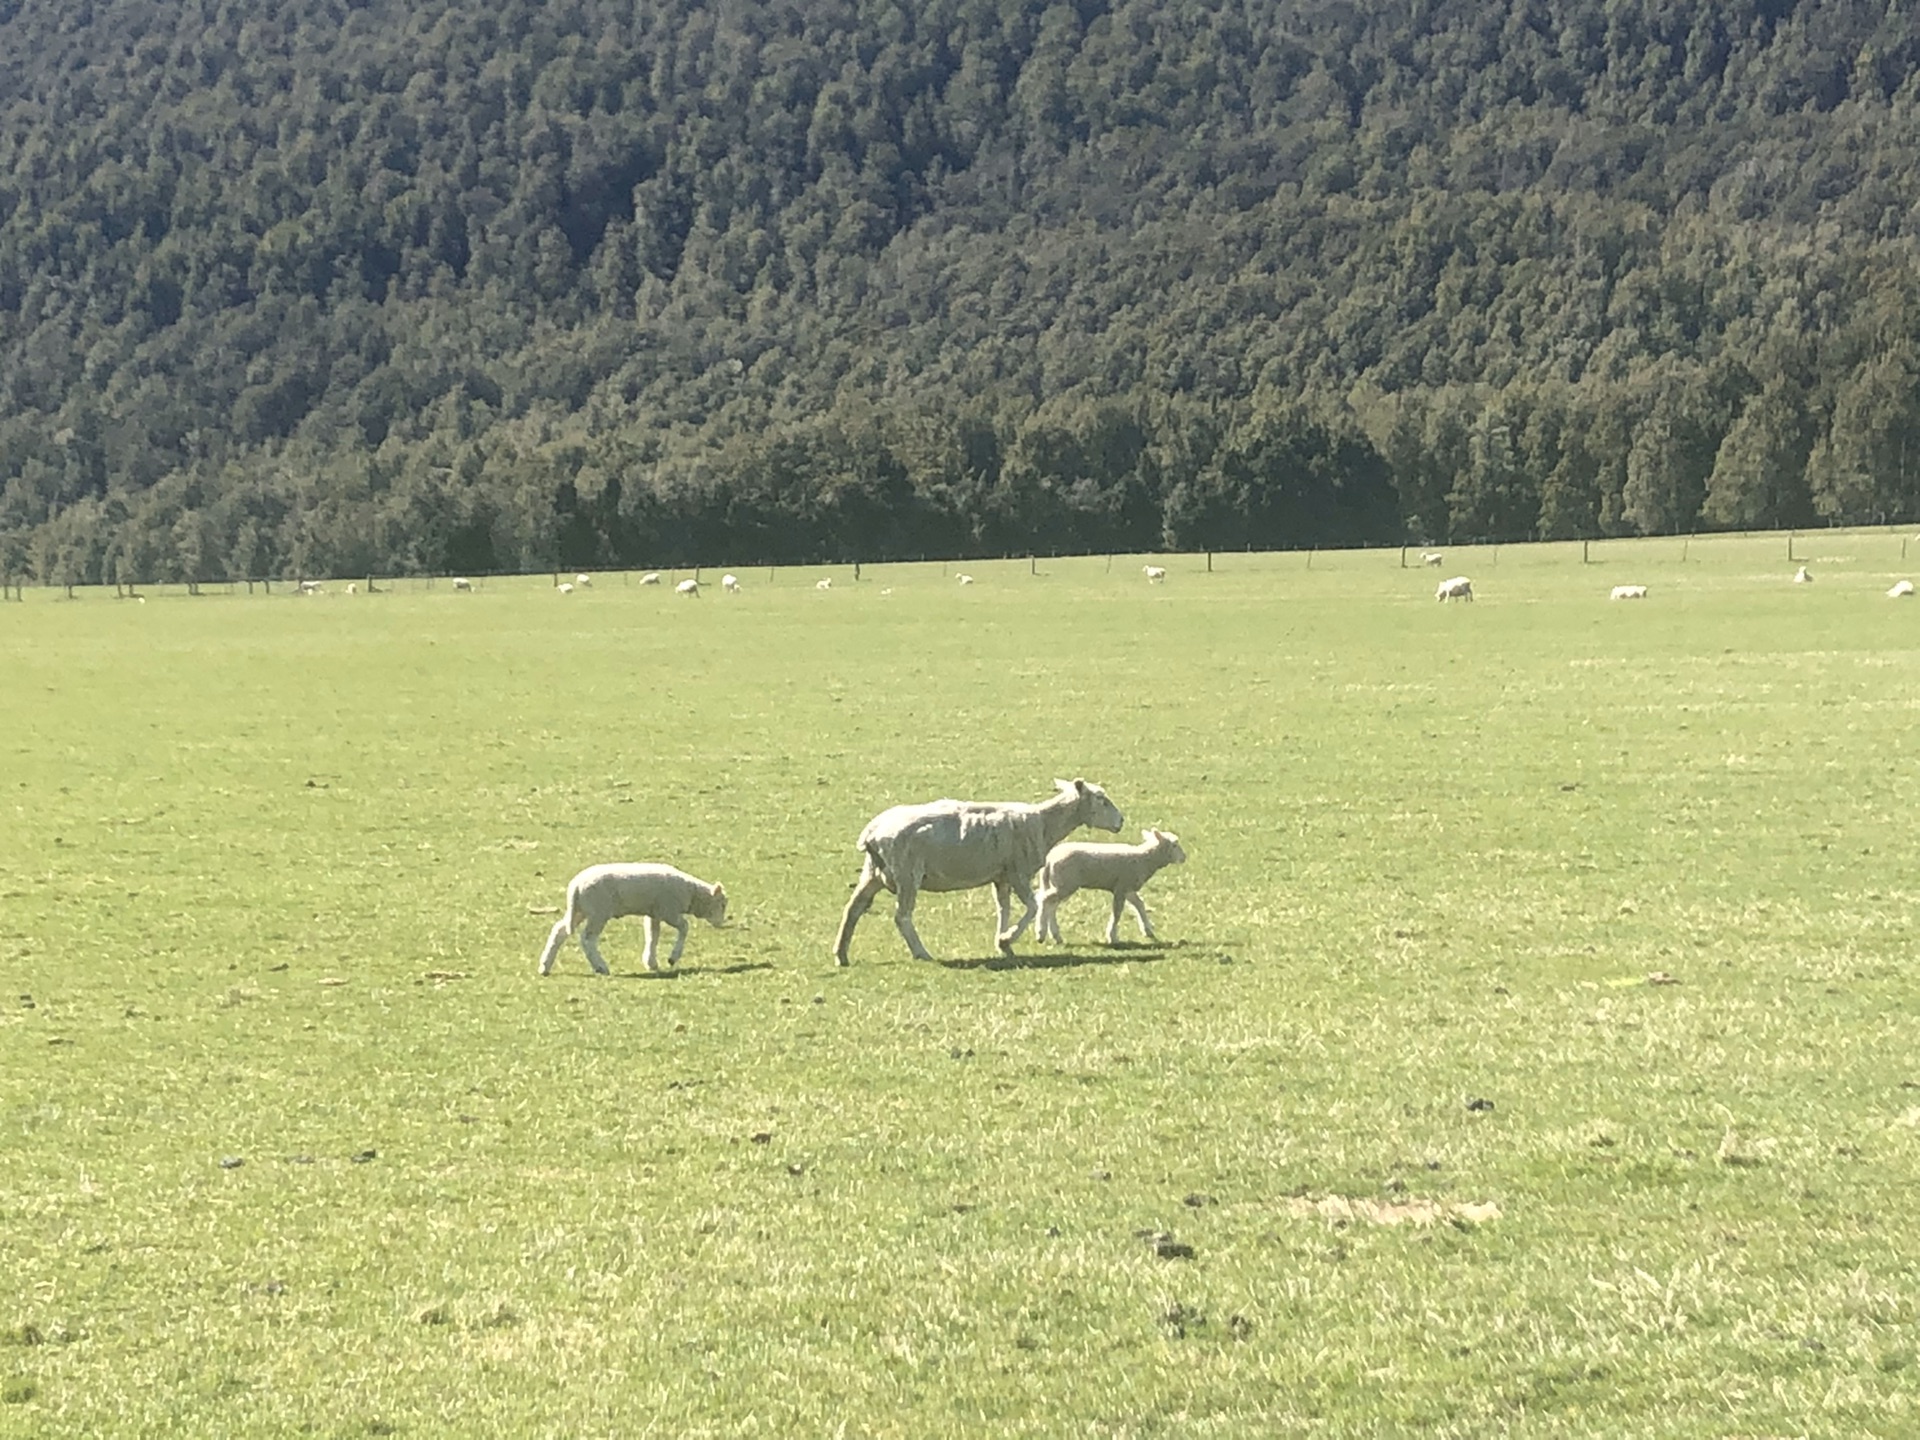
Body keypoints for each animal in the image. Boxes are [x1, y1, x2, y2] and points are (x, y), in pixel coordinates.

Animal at [537, 867, 729, 983]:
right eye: (722, 904)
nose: (721, 923)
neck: (690, 893)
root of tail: (575, 887)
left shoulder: (654, 913)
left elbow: (652, 936)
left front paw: (651, 962)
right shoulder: (669, 910)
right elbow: (684, 926)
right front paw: (672, 957)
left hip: (580, 911)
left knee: (559, 931)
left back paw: (544, 966)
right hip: (598, 911)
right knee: (587, 939)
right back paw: (601, 967)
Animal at [825, 779, 1121, 971]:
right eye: (1102, 800)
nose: (1122, 821)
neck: (1043, 822)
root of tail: (872, 833)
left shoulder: (1001, 876)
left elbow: (1004, 909)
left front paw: (1003, 944)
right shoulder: (1017, 871)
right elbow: (1033, 906)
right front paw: (1007, 939)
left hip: (873, 873)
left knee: (852, 909)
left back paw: (841, 954)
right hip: (907, 874)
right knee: (902, 917)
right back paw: (922, 953)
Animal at [1036, 833, 1182, 948]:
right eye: (1174, 845)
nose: (1184, 857)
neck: (1143, 859)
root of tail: (1049, 860)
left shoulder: (1128, 888)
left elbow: (1139, 904)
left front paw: (1147, 930)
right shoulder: (1122, 887)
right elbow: (1117, 912)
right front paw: (1112, 937)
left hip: (1059, 883)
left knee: (1051, 905)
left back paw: (1056, 936)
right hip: (1065, 883)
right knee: (1044, 900)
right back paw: (1041, 933)